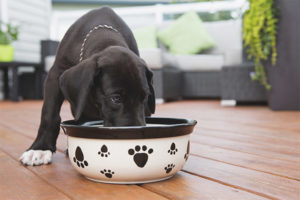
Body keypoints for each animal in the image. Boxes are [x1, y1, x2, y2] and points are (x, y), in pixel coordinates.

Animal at [19, 6, 155, 166]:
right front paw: (40, 148)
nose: (136, 136)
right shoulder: (55, 74)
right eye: (116, 99)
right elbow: (49, 113)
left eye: (144, 97)